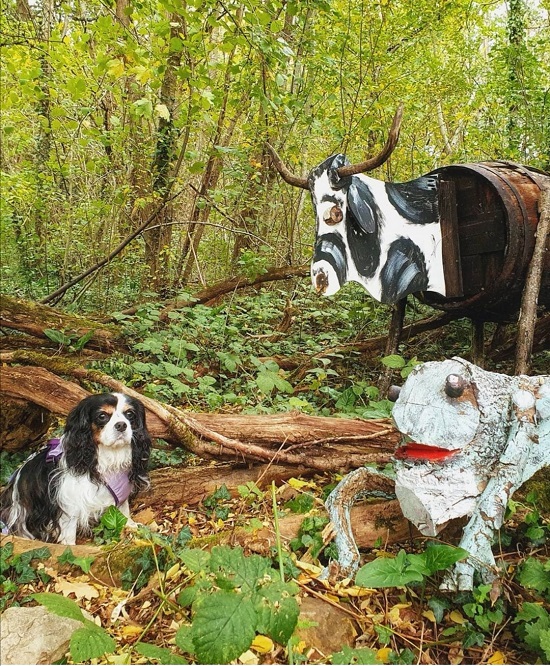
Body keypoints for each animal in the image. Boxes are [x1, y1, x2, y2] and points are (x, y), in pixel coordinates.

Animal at [0, 392, 151, 544]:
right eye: (102, 416)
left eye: (130, 414)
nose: (121, 425)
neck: (109, 456)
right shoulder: (69, 502)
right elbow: (69, 531)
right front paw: (70, 546)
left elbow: (124, 510)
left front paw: (131, 526)